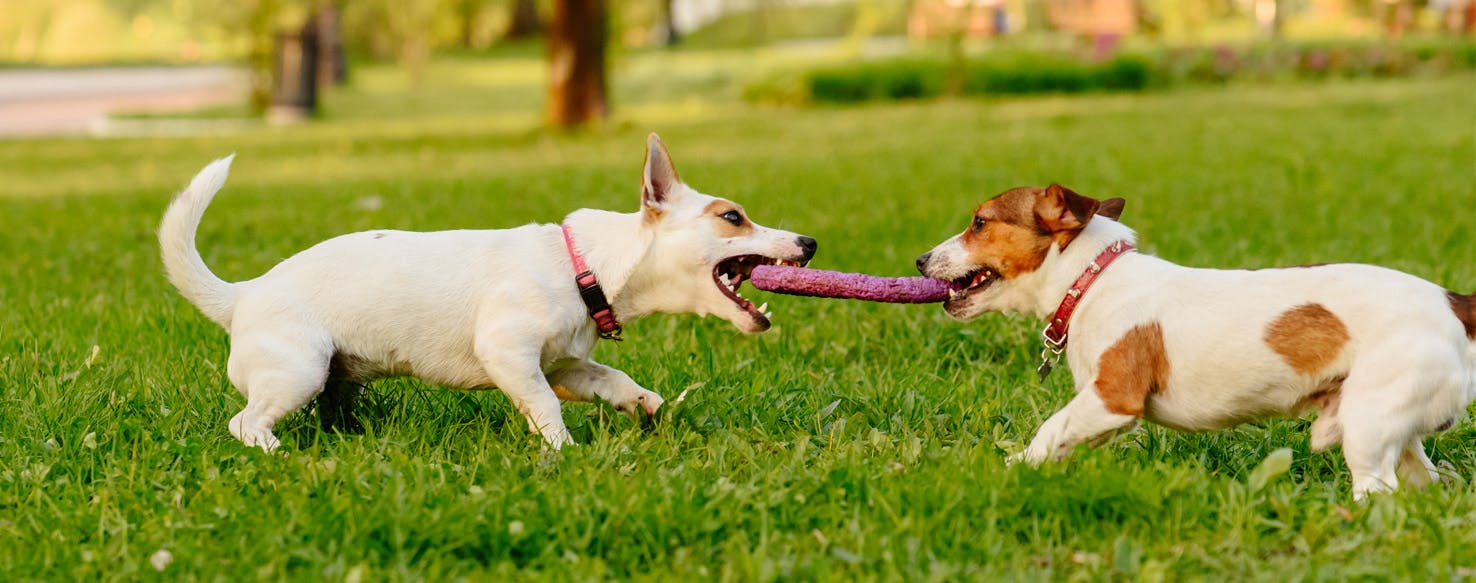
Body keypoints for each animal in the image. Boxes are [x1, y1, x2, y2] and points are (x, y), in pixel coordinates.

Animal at [161, 135, 820, 451]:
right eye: (733, 217)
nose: (809, 242)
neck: (585, 266)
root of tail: (241, 295)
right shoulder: (510, 354)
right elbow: (546, 407)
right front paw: (563, 450)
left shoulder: (565, 364)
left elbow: (611, 381)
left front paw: (648, 406)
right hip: (296, 370)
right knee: (245, 423)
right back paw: (276, 452)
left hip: (334, 376)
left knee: (329, 409)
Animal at [915, 185, 1470, 498]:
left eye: (979, 223)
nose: (920, 260)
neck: (1092, 279)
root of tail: (1456, 303)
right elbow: (1062, 443)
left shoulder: (1112, 399)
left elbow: (1051, 428)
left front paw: (1006, 469)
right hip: (1396, 425)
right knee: (1422, 481)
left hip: (1369, 422)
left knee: (1379, 492)